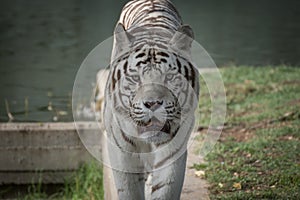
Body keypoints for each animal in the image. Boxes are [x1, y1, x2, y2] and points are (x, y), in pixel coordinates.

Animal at [98, 0, 200, 199]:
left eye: (169, 77)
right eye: (135, 78)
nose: (153, 104)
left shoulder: (172, 153)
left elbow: (164, 190)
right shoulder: (122, 154)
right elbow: (129, 191)